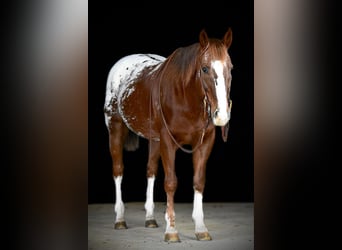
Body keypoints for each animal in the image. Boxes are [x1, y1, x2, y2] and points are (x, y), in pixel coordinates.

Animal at [103, 27, 232, 242]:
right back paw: (120, 219)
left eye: (230, 68)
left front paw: (201, 228)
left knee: (150, 171)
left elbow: (198, 181)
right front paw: (171, 230)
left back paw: (150, 218)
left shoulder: (205, 142)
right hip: (116, 128)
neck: (185, 96)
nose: (221, 115)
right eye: (205, 69)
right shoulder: (168, 142)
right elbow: (171, 183)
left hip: (154, 140)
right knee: (118, 170)